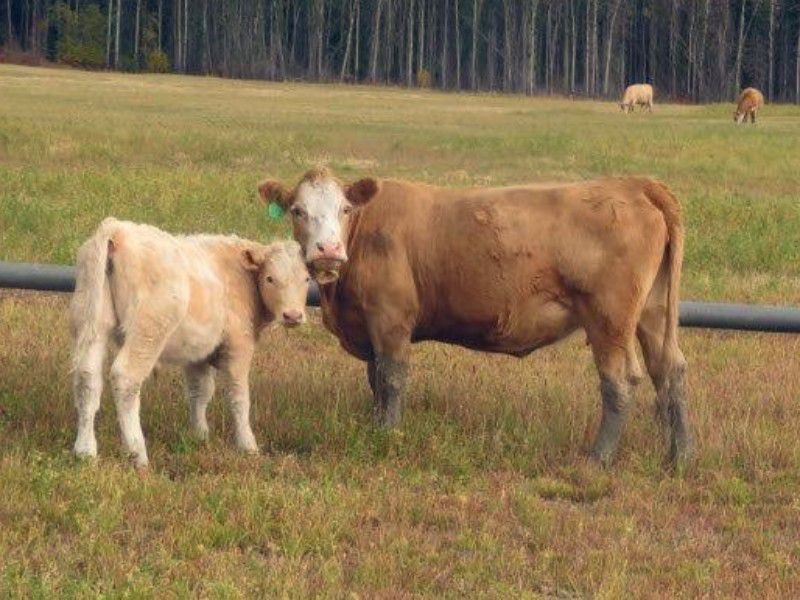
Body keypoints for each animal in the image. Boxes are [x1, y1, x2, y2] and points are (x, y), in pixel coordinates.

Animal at [69, 218, 309, 468]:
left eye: (306, 278)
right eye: (270, 278)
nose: (293, 315)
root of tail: (117, 228)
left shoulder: (197, 352)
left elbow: (199, 392)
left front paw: (199, 436)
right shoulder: (238, 345)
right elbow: (239, 396)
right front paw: (247, 445)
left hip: (91, 321)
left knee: (87, 377)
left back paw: (85, 451)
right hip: (147, 331)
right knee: (125, 378)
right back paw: (138, 454)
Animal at [258, 168, 691, 466]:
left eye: (344, 209)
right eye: (297, 210)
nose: (328, 250)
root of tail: (632, 184)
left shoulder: (390, 320)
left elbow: (391, 378)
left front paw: (388, 434)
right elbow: (375, 380)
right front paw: (376, 425)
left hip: (610, 318)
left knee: (620, 381)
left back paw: (598, 458)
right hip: (652, 312)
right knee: (669, 370)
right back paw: (680, 456)